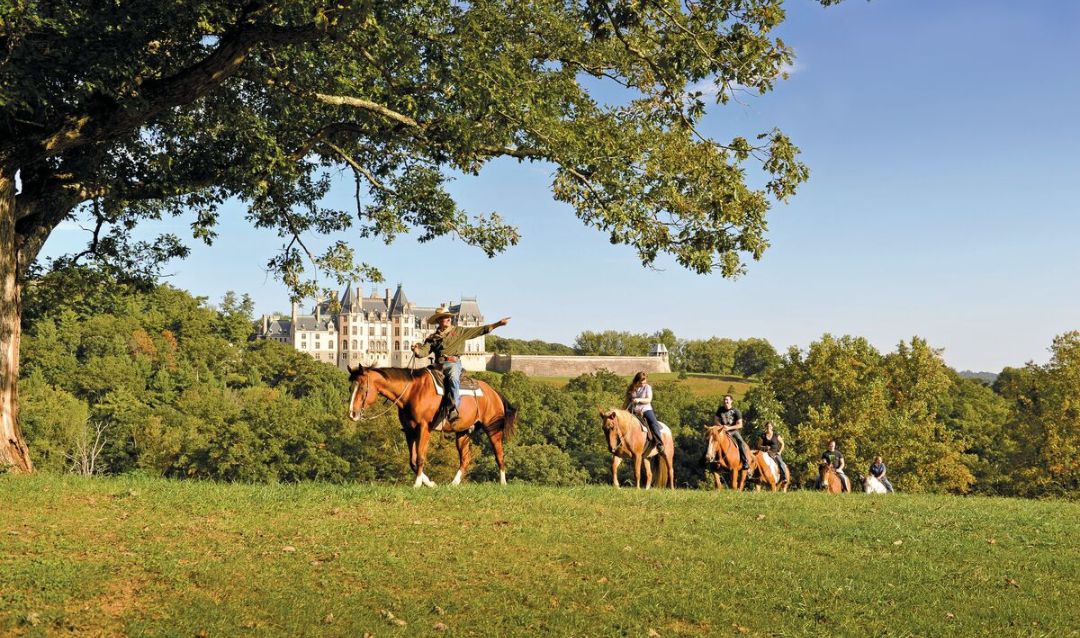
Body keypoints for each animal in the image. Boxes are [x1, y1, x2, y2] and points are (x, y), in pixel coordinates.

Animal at [345, 364, 514, 490]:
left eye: (362, 388)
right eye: (350, 388)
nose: (352, 413)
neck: (412, 391)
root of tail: (494, 393)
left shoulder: (423, 429)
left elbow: (420, 457)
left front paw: (417, 484)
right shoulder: (409, 431)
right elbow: (412, 460)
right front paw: (430, 483)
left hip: (492, 429)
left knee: (499, 455)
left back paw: (503, 482)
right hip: (463, 432)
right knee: (465, 459)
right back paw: (453, 483)